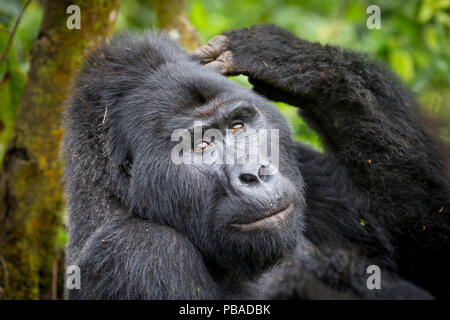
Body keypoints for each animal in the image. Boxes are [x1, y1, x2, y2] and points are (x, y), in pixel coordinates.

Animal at [64, 23, 450, 298]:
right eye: (200, 146)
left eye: (238, 126)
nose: (255, 174)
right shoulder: (139, 251)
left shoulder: (307, 166)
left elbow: (432, 260)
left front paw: (293, 60)